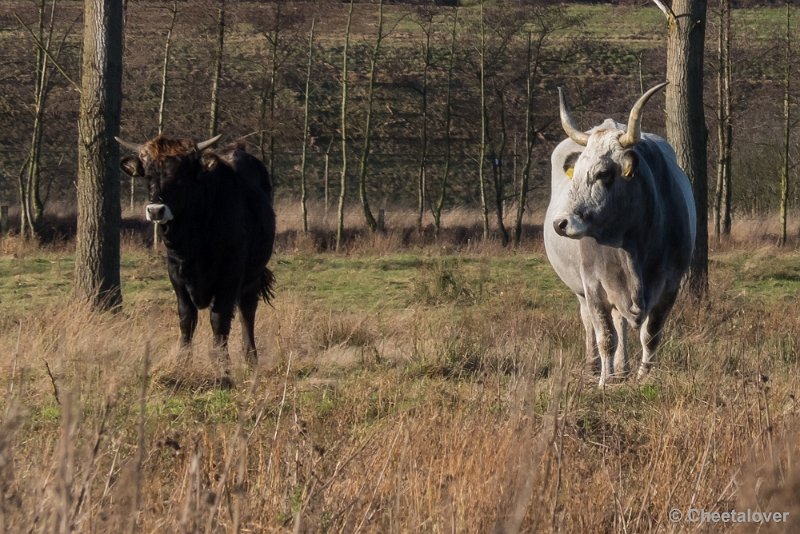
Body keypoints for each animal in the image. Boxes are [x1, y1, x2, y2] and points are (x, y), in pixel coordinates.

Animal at [117, 133, 276, 386]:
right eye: (148, 174)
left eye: (180, 176)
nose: (156, 210)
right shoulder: (176, 275)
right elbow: (186, 318)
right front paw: (182, 363)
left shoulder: (230, 278)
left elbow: (219, 320)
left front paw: (223, 370)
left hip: (253, 275)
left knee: (247, 312)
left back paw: (251, 359)